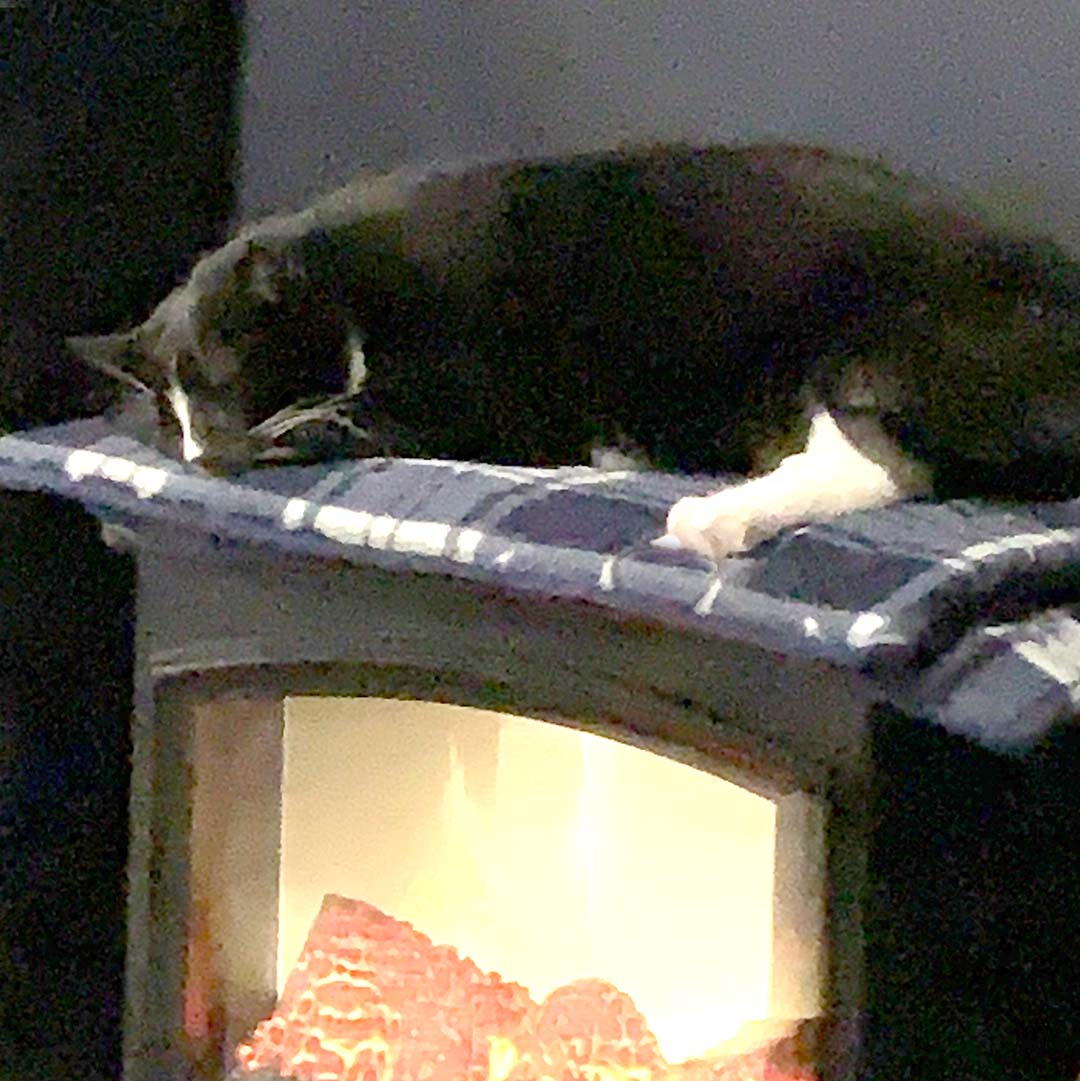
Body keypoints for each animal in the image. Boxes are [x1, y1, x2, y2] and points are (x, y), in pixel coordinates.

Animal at [63, 142, 1080, 562]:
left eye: (227, 385)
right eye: (170, 426)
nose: (202, 455)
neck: (350, 283)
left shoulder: (475, 390)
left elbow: (351, 418)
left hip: (891, 343)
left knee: (882, 460)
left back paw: (712, 519)